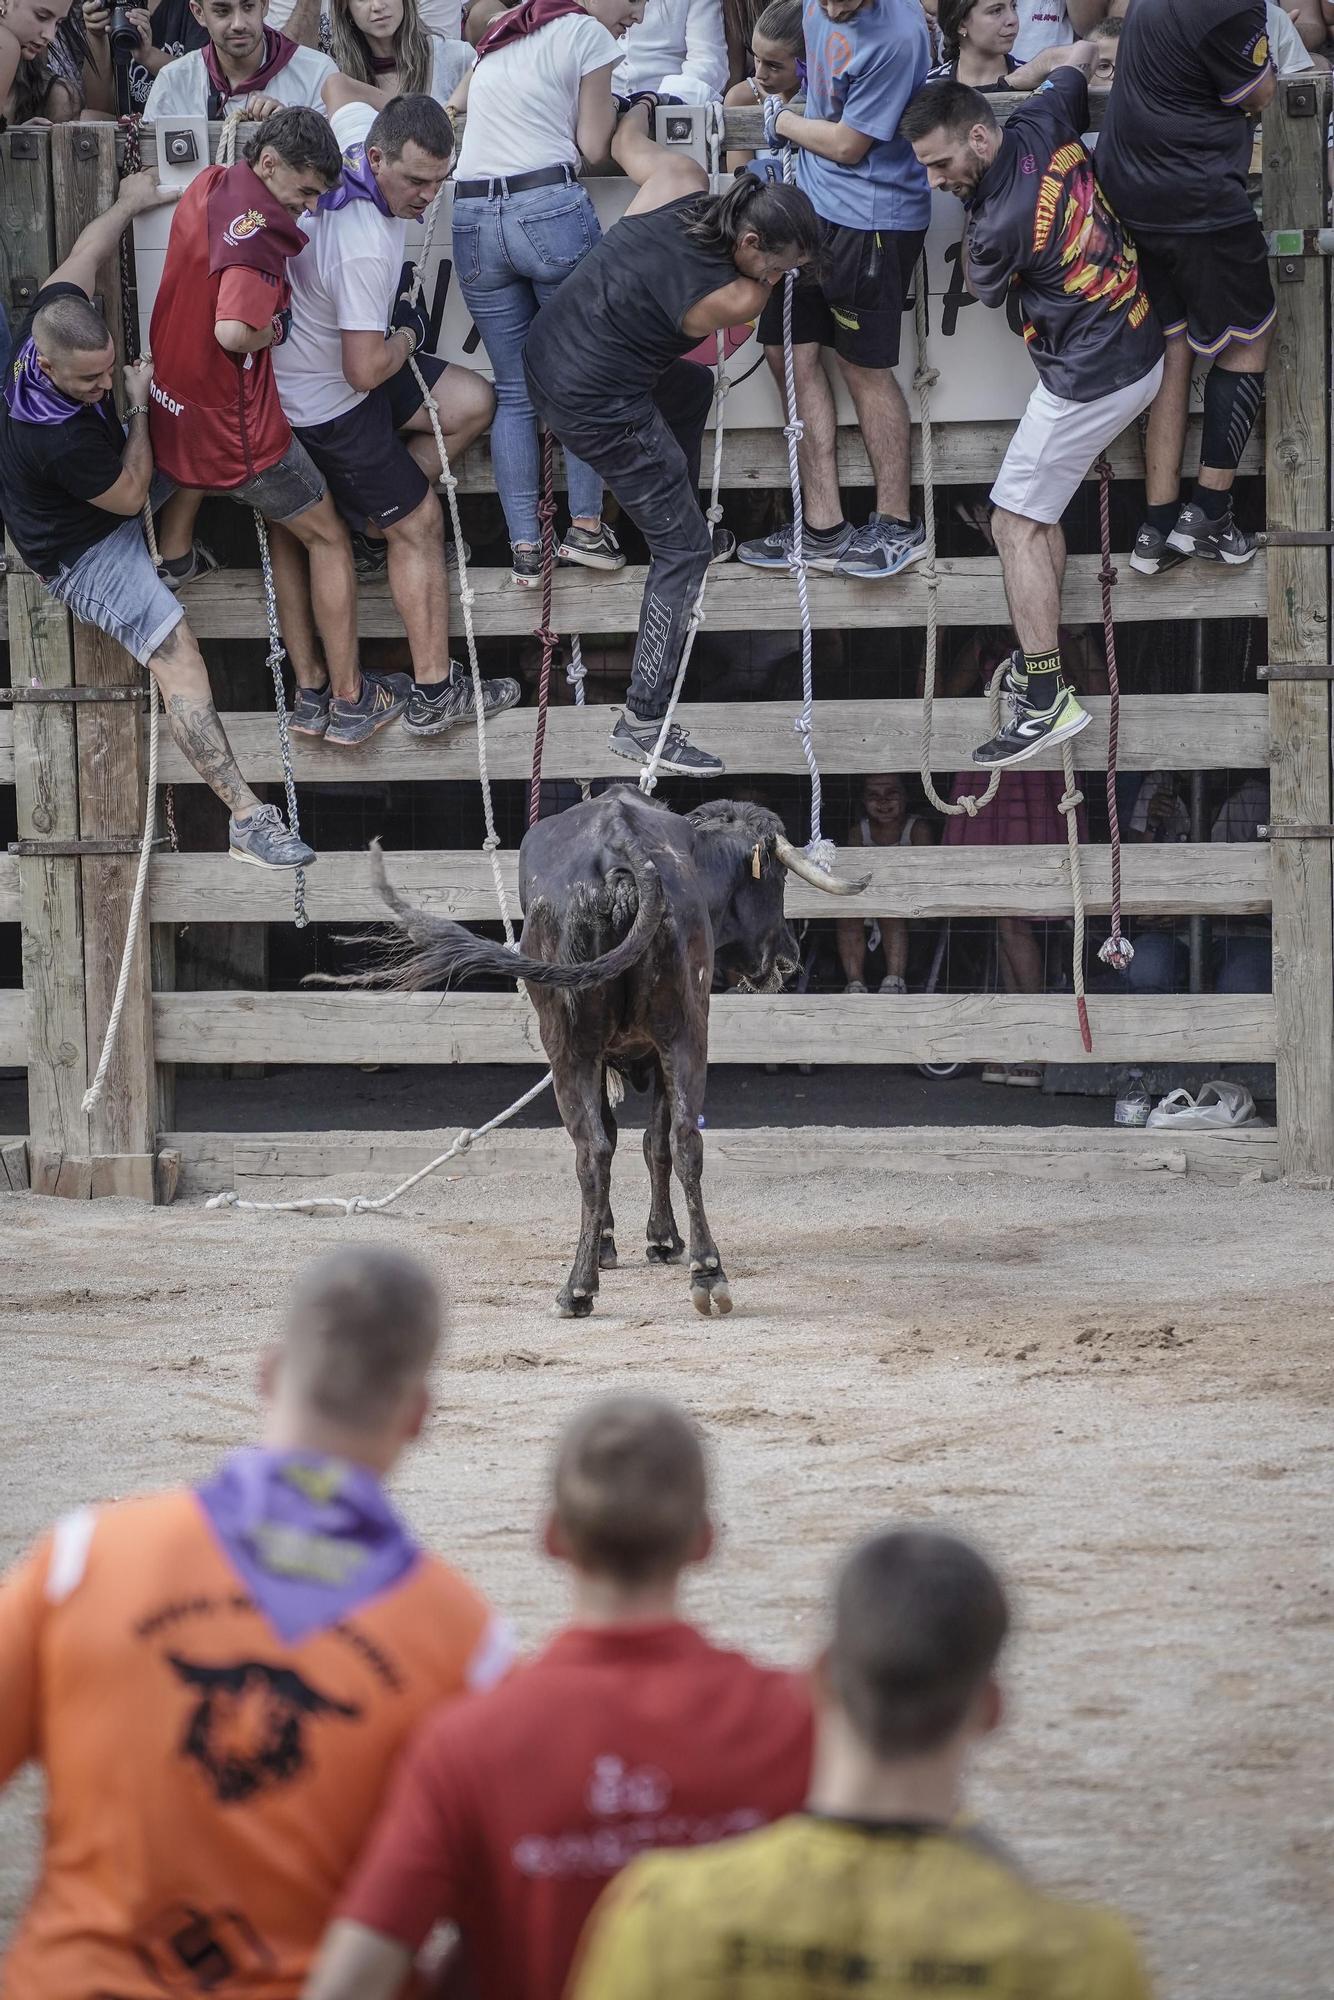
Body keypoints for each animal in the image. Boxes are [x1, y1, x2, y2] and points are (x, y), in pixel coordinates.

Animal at [368, 788, 868, 1320]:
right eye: (776, 881)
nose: (790, 958)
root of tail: (620, 851)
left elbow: (636, 1141)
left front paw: (646, 1240)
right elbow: (651, 1140)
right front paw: (652, 1240)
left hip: (579, 1048)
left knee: (598, 1151)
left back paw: (585, 1286)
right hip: (680, 1036)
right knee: (679, 1141)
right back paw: (703, 1271)